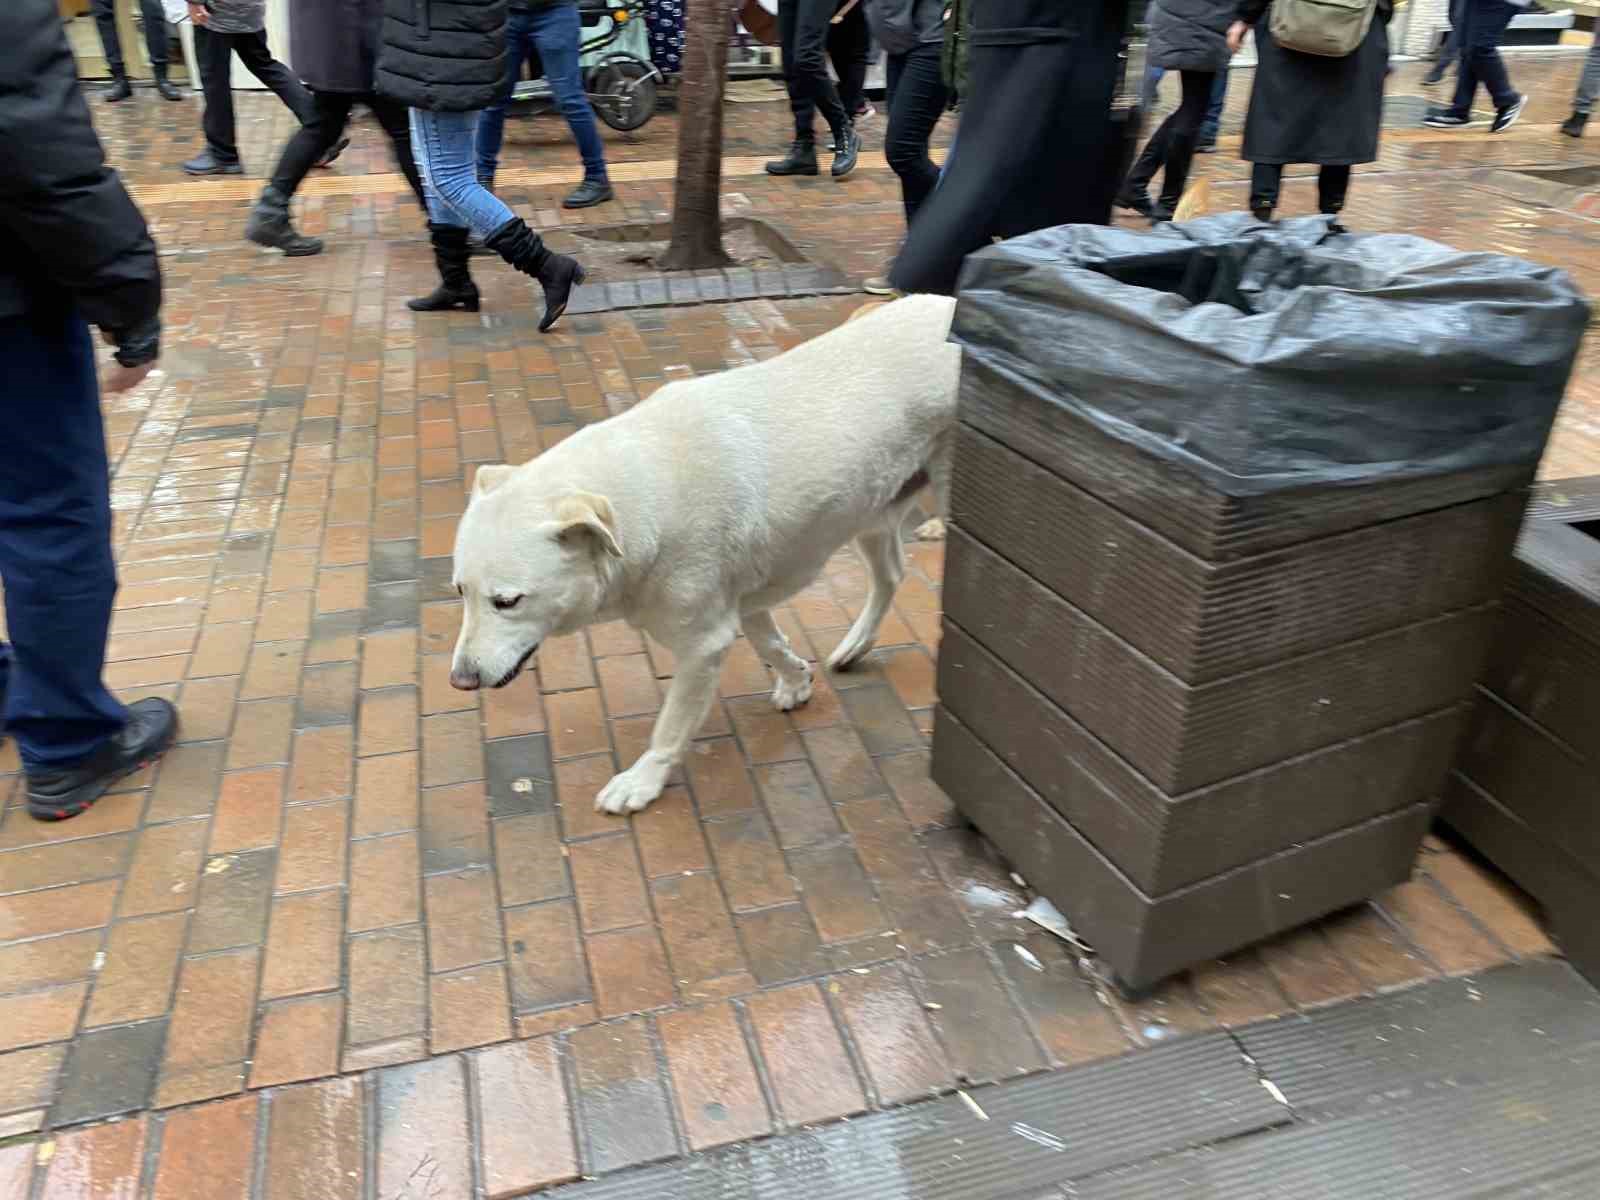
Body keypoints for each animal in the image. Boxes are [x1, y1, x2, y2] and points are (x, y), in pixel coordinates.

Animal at [448, 292, 960, 819]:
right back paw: (855, 645)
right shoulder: (743, 601)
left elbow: (670, 726)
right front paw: (798, 681)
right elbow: (771, 645)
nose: (461, 680)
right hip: (871, 512)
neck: (644, 498)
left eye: (507, 601)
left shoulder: (704, 643)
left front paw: (642, 781)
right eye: (460, 591)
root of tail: (946, 301)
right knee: (891, 575)